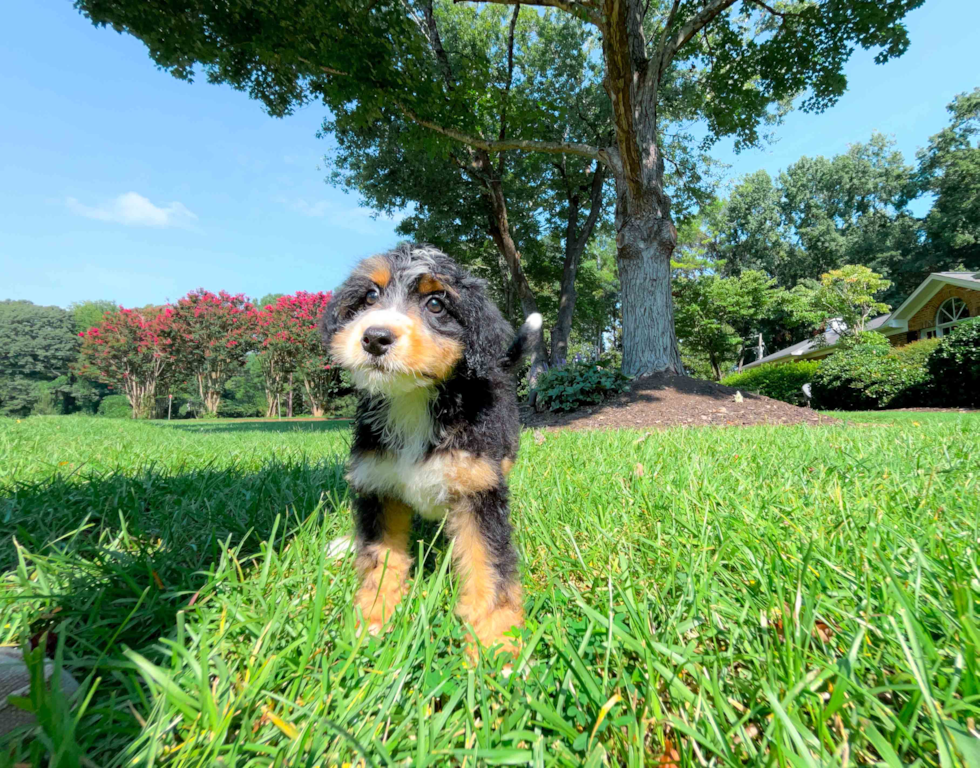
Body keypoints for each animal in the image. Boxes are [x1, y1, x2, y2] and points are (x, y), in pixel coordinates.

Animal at [322, 243, 540, 656]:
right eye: (370, 297)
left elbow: (489, 563)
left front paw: (496, 642)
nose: (375, 337)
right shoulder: (377, 483)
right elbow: (379, 558)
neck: (413, 402)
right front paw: (373, 618)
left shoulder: (477, 489)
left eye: (436, 304)